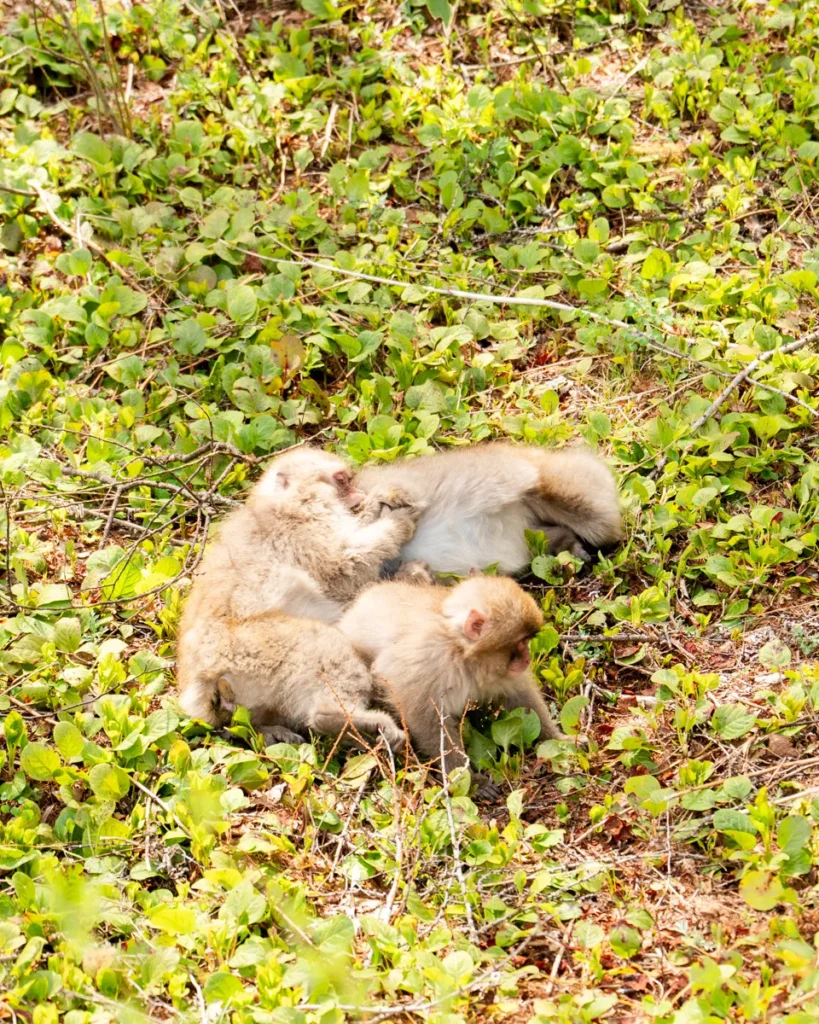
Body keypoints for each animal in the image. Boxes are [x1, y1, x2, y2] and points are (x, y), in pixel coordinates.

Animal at [177, 446, 420, 742]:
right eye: (342, 481)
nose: (358, 496)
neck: (285, 504)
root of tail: (203, 681)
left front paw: (376, 504)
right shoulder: (302, 529)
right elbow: (342, 569)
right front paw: (397, 522)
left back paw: (269, 730)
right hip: (254, 649)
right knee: (320, 643)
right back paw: (341, 719)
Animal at [337, 575, 569, 795]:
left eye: (528, 641)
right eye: (520, 642)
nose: (527, 658)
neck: (462, 652)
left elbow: (521, 696)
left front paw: (559, 740)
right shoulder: (427, 662)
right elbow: (425, 718)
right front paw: (470, 780)